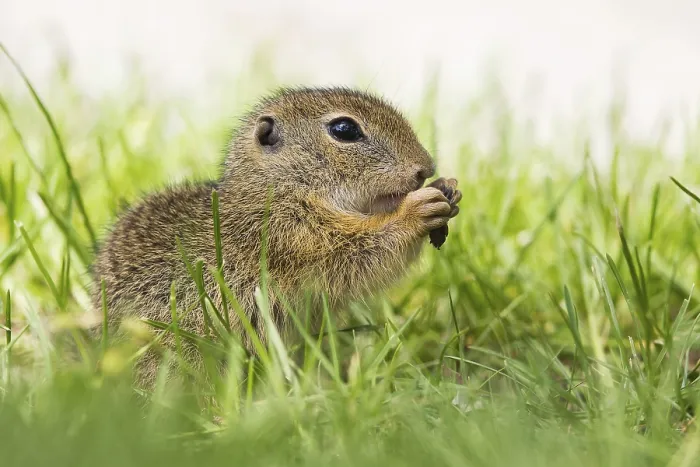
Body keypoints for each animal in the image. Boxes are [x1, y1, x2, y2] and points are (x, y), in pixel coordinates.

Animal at [91, 87, 462, 387]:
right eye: (344, 129)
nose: (425, 168)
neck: (276, 187)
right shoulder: (290, 238)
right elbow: (362, 253)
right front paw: (416, 209)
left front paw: (449, 190)